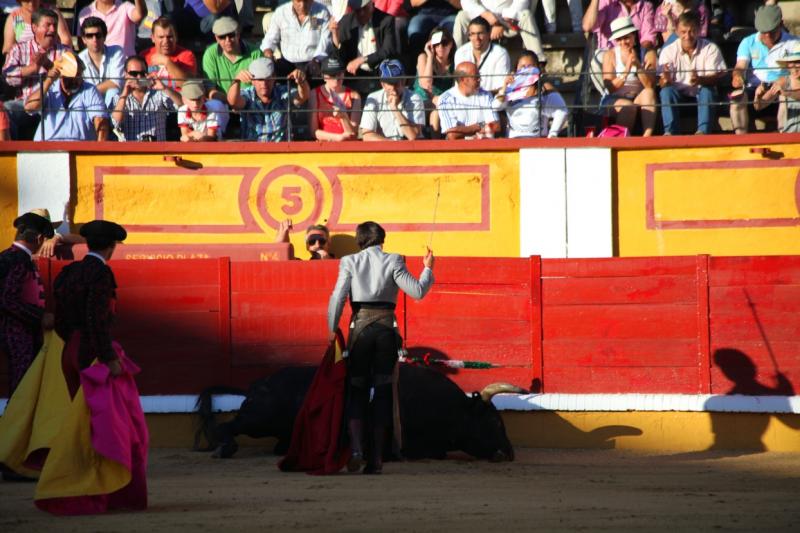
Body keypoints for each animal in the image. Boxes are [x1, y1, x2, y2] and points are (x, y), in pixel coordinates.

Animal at [195, 366, 524, 462]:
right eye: (494, 421)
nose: (509, 452)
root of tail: (258, 382)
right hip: (261, 418)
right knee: (231, 426)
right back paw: (224, 448)